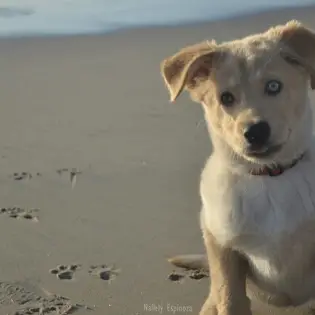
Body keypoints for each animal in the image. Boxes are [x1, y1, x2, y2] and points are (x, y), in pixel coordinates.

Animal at [162, 20, 315, 315]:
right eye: (226, 98)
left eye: (274, 86)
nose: (255, 132)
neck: (270, 178)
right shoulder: (223, 248)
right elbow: (230, 298)